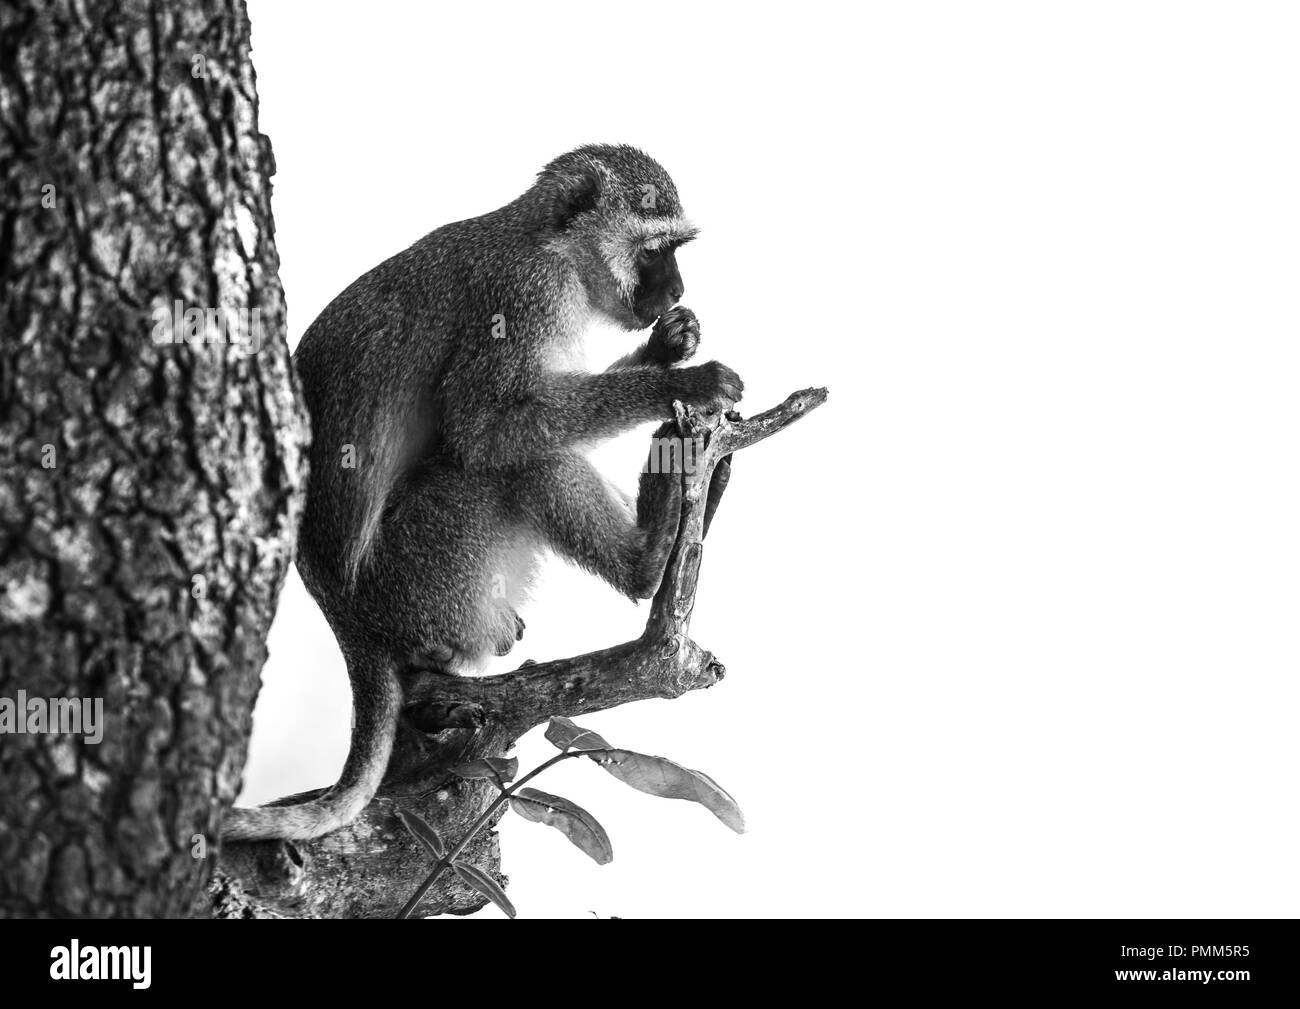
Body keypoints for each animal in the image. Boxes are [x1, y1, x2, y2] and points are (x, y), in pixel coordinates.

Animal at [223, 145, 743, 842]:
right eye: (657, 249)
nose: (678, 290)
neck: (549, 242)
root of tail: (347, 617)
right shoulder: (527, 293)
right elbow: (485, 427)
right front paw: (682, 380)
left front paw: (668, 343)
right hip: (427, 568)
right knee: (509, 462)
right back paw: (650, 558)